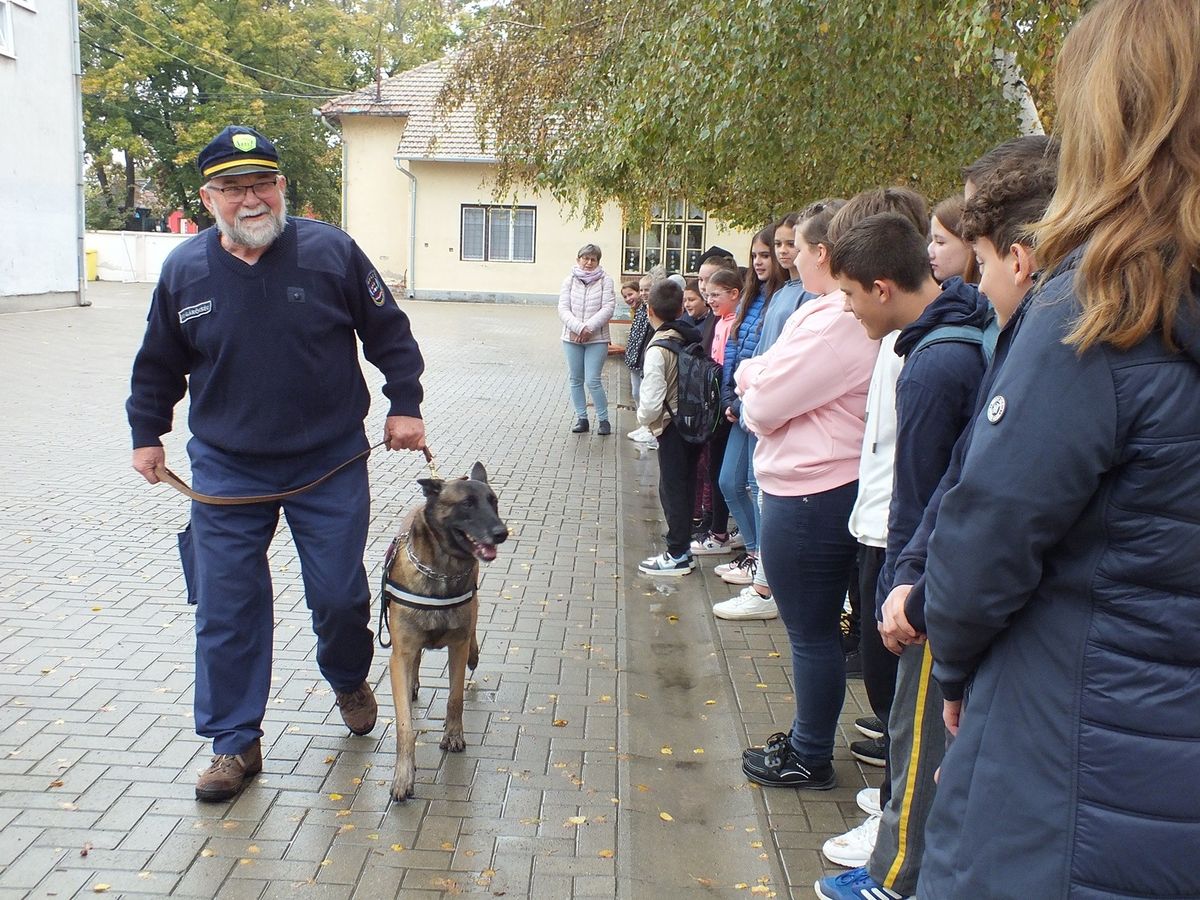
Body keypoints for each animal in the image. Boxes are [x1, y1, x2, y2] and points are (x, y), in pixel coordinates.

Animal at [384, 465, 506, 801]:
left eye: (493, 502)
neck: (441, 572)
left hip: (473, 606)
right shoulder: (399, 654)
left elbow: (455, 698)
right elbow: (405, 726)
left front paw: (453, 736)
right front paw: (404, 776)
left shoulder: (457, 645)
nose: (502, 532)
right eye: (467, 504)